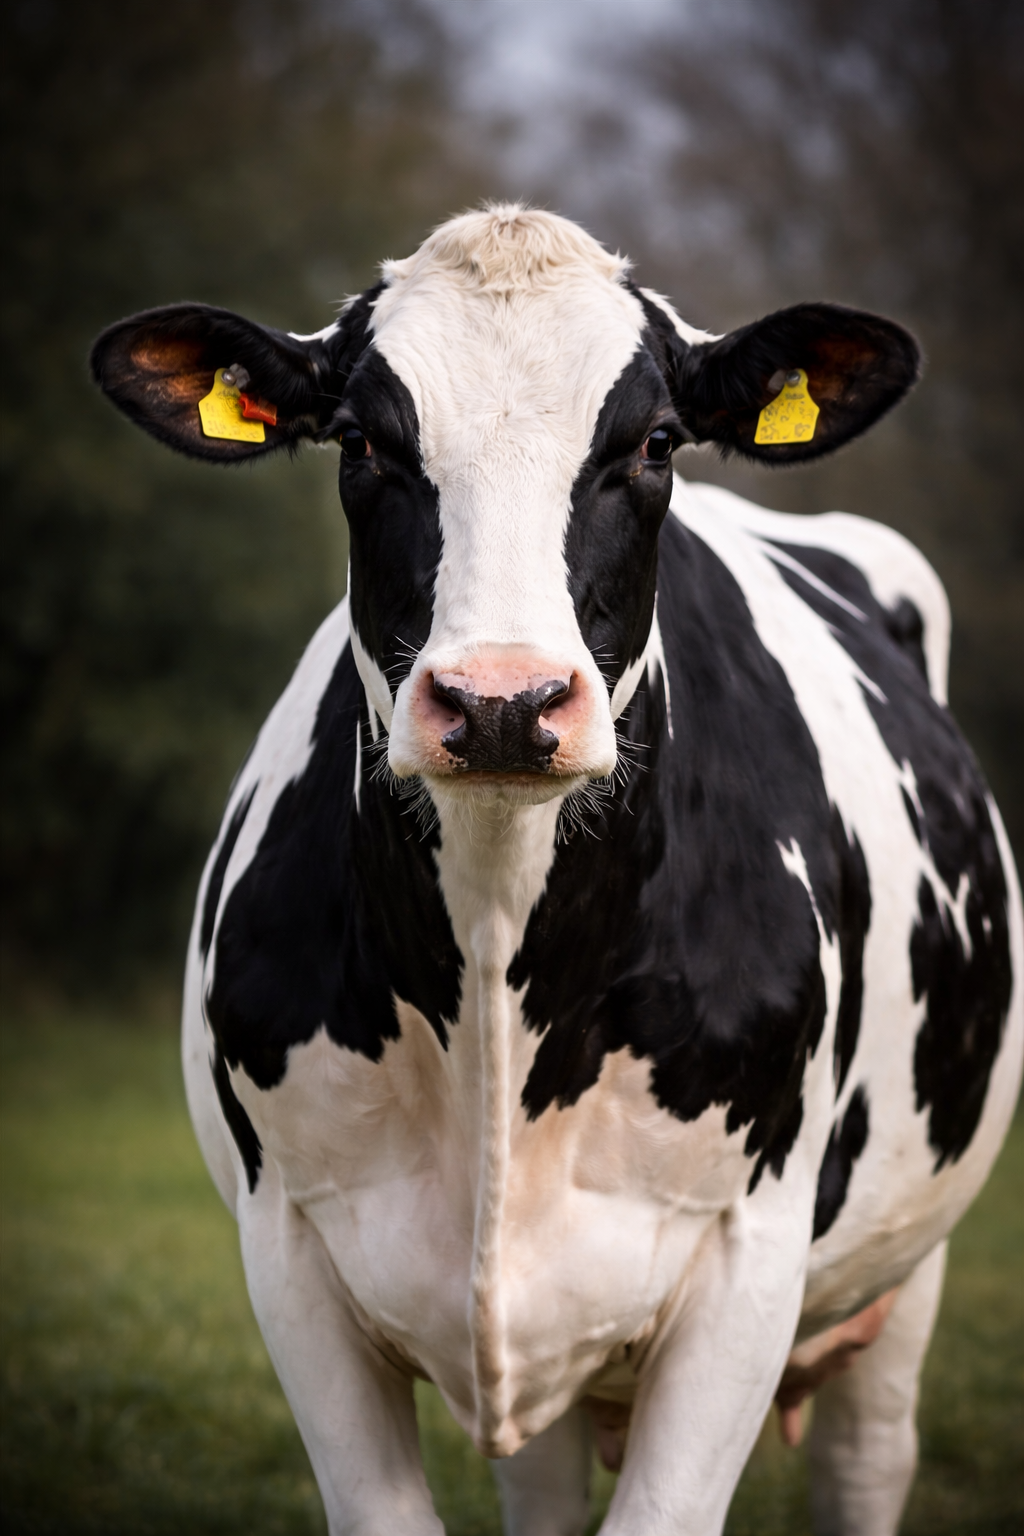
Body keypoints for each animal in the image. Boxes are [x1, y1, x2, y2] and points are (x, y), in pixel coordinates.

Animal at [91, 205, 1022, 1536]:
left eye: (654, 441)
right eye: (363, 440)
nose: (500, 701)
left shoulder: (747, 1262)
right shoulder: (289, 1251)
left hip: (909, 1257)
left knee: (864, 1460)